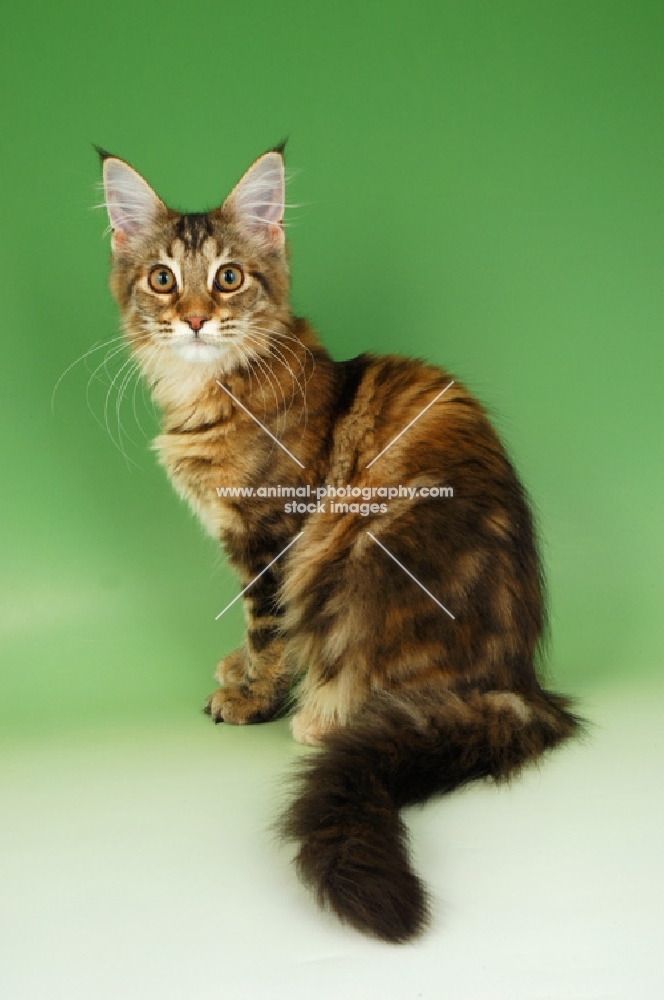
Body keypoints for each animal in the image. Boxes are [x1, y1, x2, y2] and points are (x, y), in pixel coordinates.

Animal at [98, 145, 580, 940]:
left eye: (228, 278)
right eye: (162, 279)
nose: (195, 319)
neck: (210, 388)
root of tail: (517, 685)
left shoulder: (274, 536)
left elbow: (270, 628)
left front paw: (253, 697)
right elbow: (258, 631)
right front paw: (239, 673)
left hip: (364, 557)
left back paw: (322, 717)